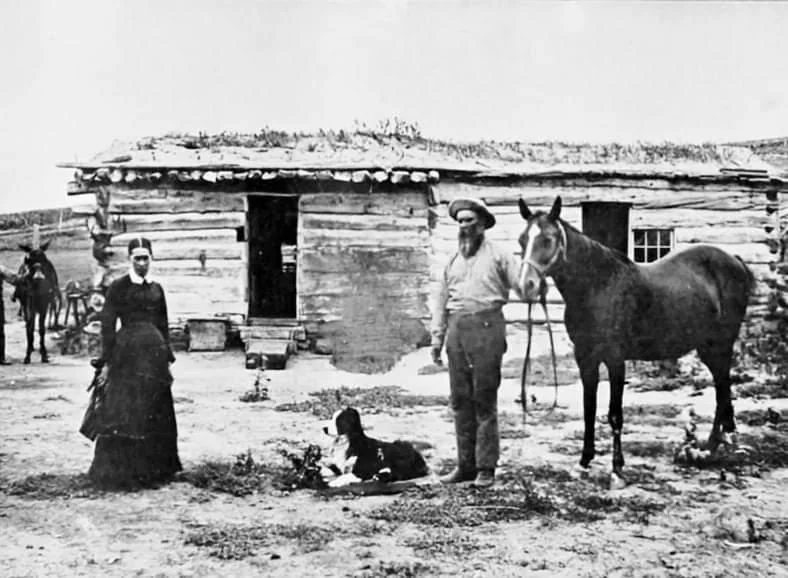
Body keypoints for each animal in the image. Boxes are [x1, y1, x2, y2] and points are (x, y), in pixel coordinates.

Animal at [516, 197, 752, 482]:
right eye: (522, 240)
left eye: (548, 239)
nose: (526, 285)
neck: (598, 286)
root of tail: (735, 261)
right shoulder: (585, 358)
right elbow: (589, 409)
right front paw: (585, 460)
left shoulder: (615, 359)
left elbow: (614, 414)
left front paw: (617, 467)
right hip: (709, 348)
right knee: (722, 387)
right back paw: (718, 443)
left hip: (719, 345)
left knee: (723, 387)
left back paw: (716, 444)